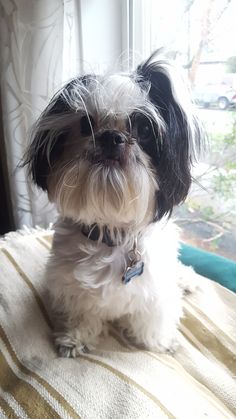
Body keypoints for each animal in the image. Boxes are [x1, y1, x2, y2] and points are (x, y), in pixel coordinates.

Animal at [23, 50, 201, 356]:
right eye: (86, 124)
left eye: (144, 128)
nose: (111, 136)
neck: (113, 232)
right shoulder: (70, 286)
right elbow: (82, 314)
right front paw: (75, 338)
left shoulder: (157, 290)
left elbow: (154, 316)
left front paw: (160, 341)